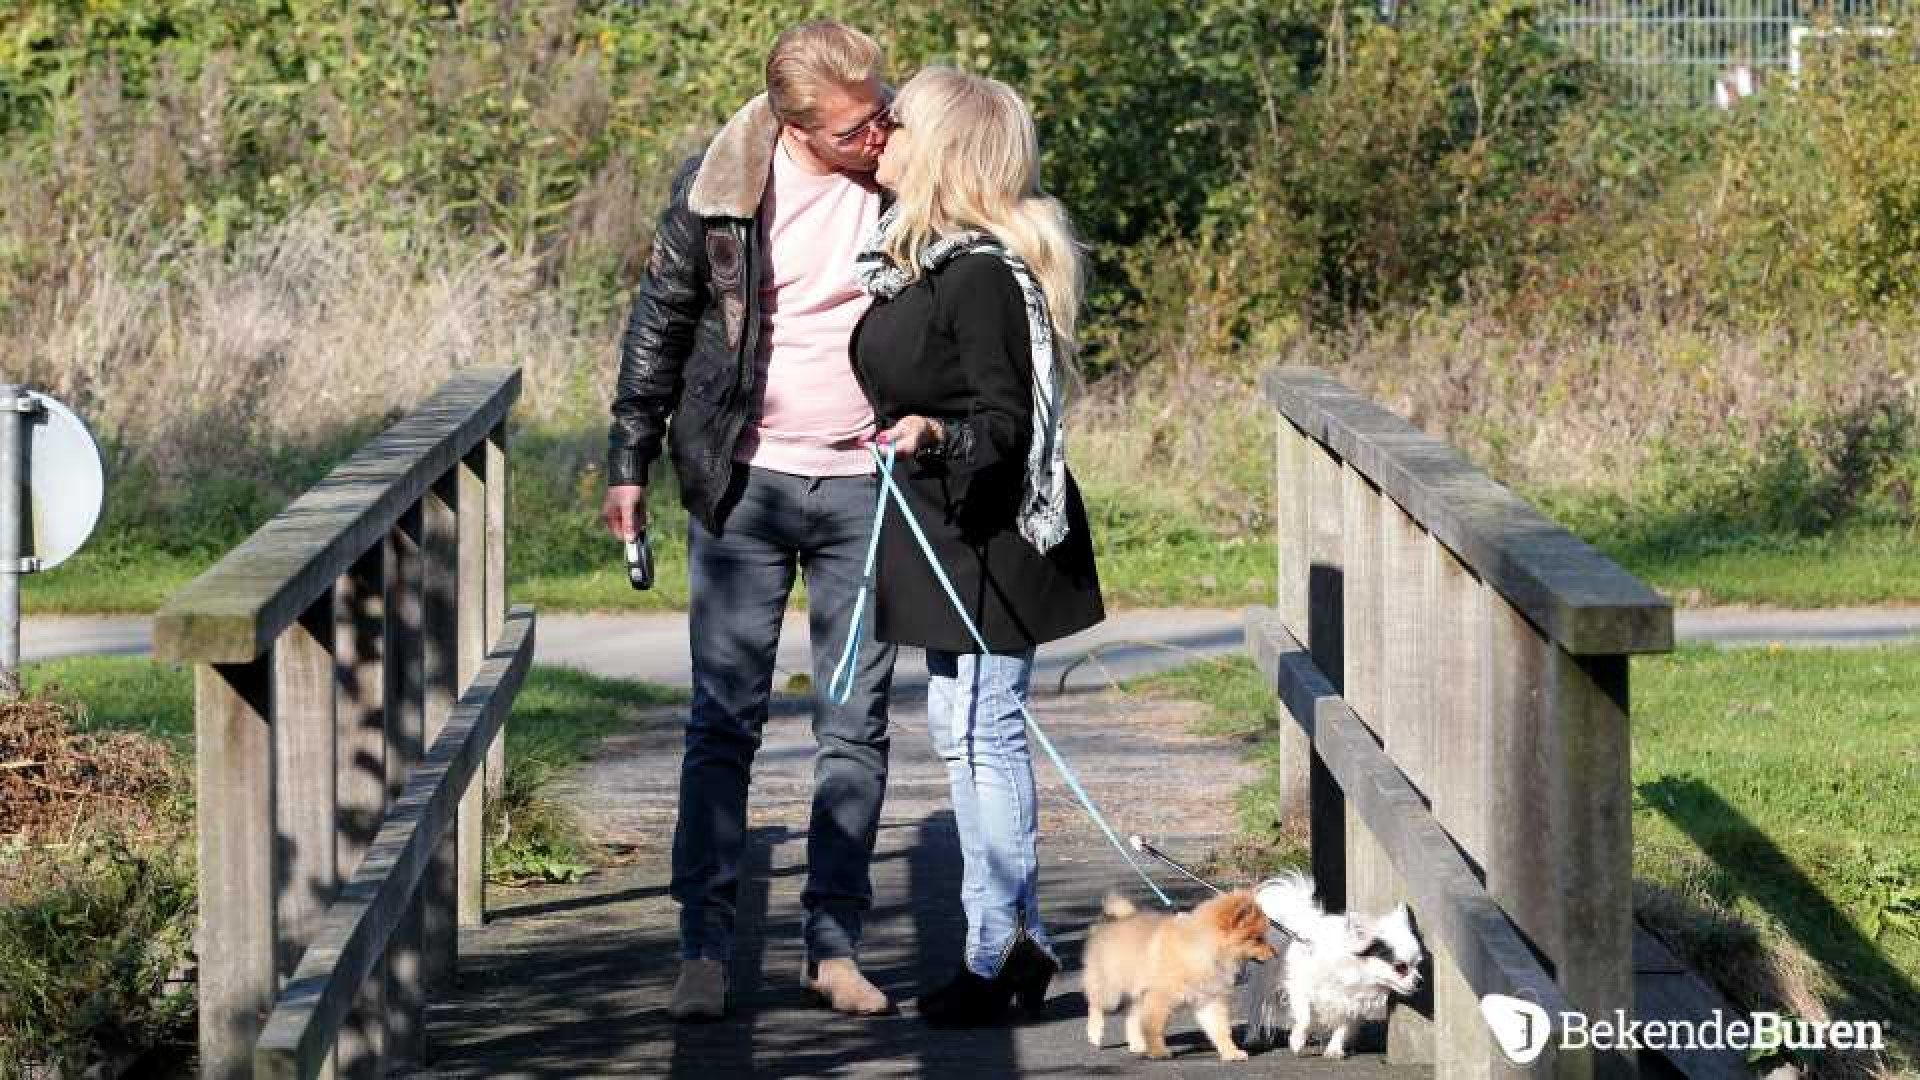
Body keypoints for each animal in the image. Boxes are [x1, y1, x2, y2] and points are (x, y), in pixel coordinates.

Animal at [1082, 887, 1274, 1053]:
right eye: (1257, 939)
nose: (1275, 953)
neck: (1204, 950)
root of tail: (1114, 921)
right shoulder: (1160, 997)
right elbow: (1154, 1027)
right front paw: (1158, 1052)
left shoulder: (1209, 998)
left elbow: (1219, 1029)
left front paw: (1231, 1052)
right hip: (1111, 989)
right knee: (1095, 1004)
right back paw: (1095, 1034)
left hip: (1137, 993)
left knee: (1131, 1017)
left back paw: (1137, 1044)